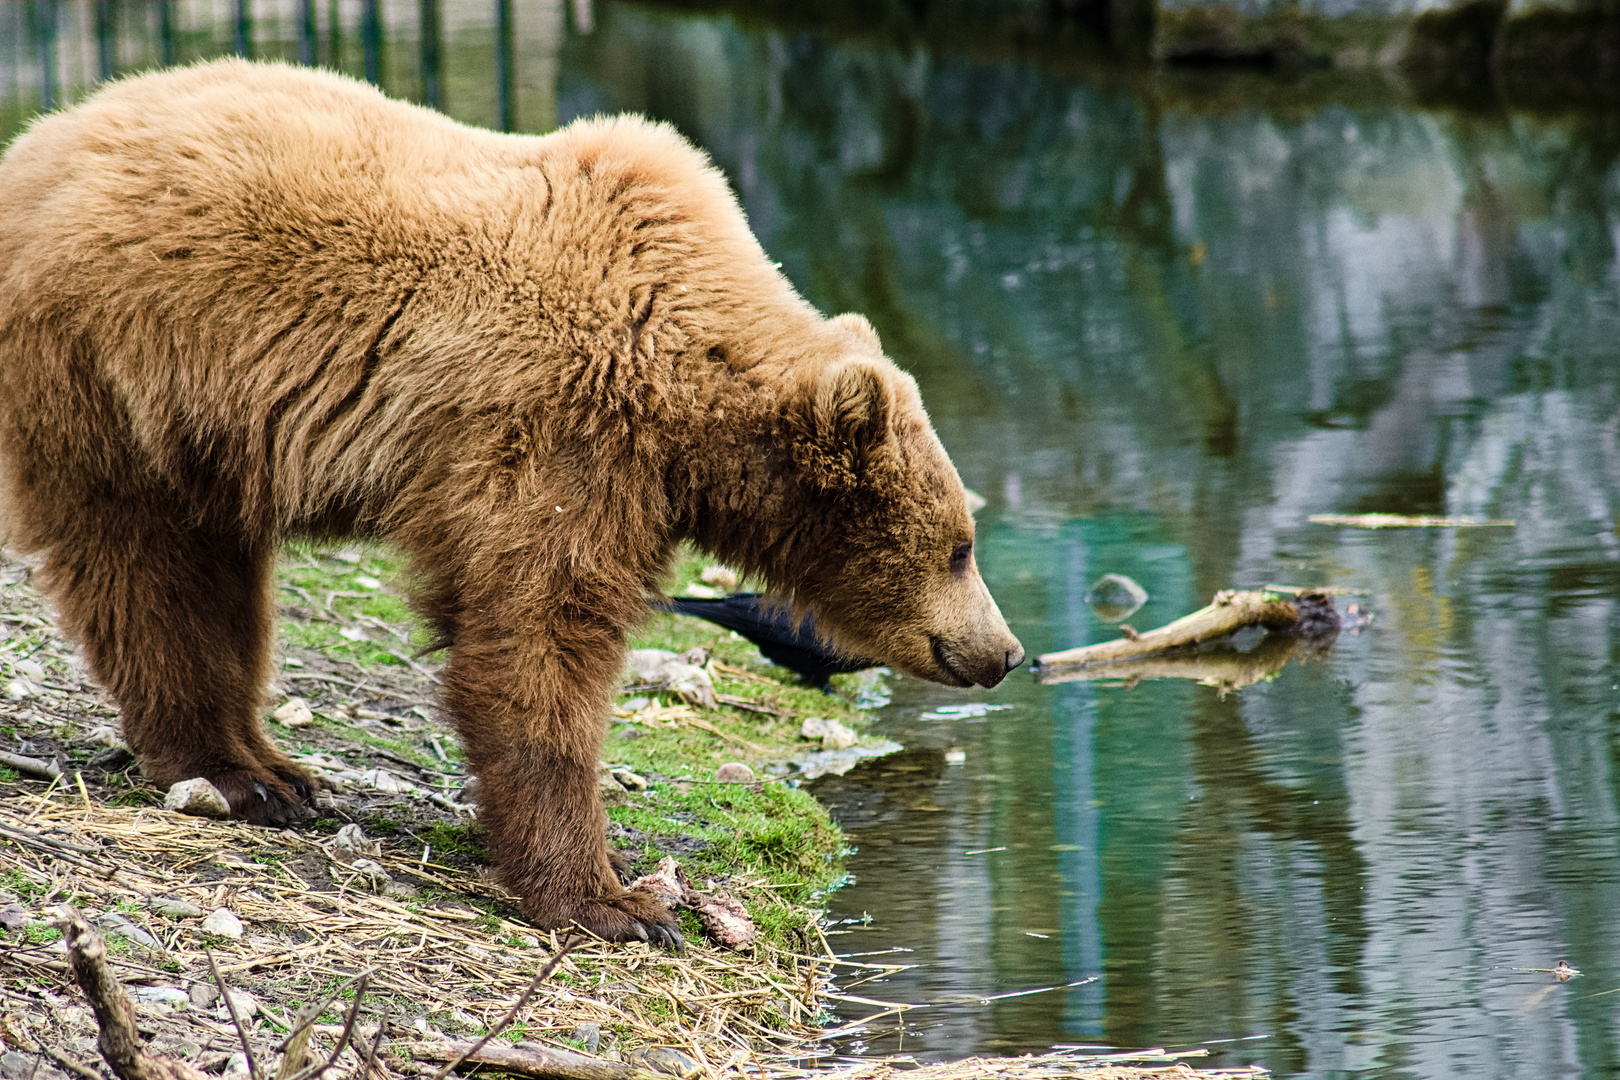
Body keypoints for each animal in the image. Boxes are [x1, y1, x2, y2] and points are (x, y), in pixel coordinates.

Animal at [0, 61, 1023, 945]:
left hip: (199, 433)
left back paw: (276, 769)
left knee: (215, 582)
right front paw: (615, 900)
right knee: (149, 568)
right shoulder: (562, 429)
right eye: (963, 545)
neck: (692, 387)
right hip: (118, 366)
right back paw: (233, 776)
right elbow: (536, 640)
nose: (1004, 651)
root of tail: (38, 142)